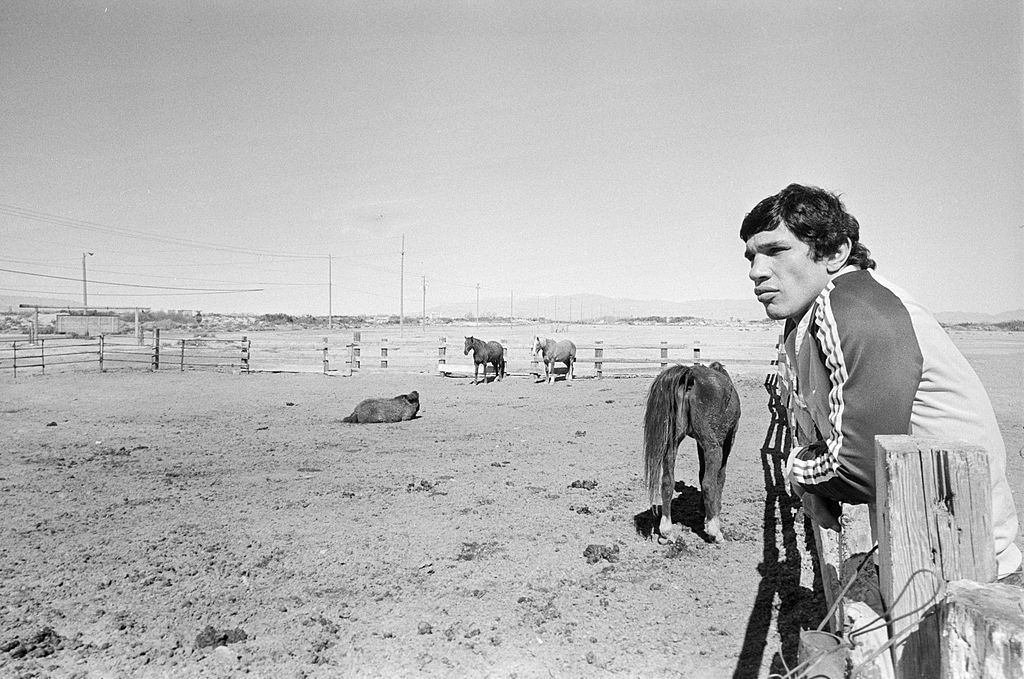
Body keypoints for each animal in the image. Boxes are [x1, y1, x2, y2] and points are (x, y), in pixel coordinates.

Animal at [643, 364, 741, 544]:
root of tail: (691, 374)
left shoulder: (699, 444)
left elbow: (701, 472)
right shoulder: (728, 439)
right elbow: (719, 477)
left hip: (672, 445)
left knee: (667, 482)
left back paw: (666, 532)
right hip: (713, 446)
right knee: (709, 483)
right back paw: (714, 531)